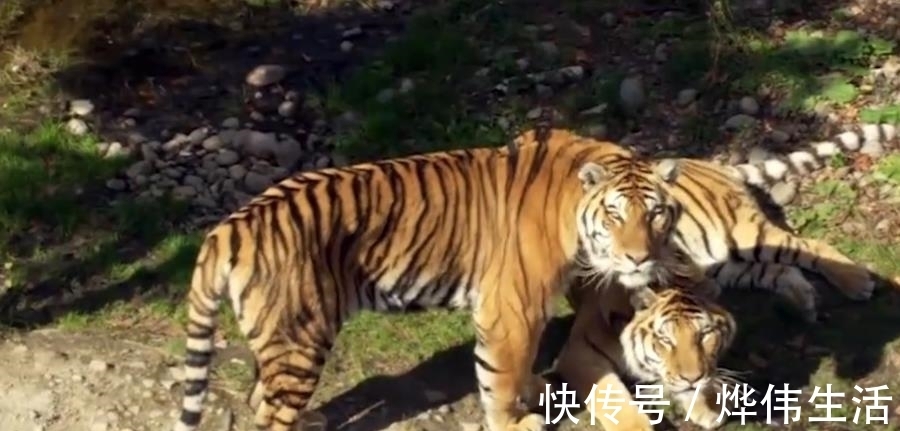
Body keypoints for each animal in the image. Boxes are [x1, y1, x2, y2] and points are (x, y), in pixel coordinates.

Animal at [172, 129, 689, 431]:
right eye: (614, 214)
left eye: (656, 213)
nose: (640, 258)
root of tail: (226, 228)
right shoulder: (510, 309)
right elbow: (501, 375)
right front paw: (514, 421)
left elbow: (521, 367)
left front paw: (535, 393)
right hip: (299, 338)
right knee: (268, 413)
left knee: (260, 397)